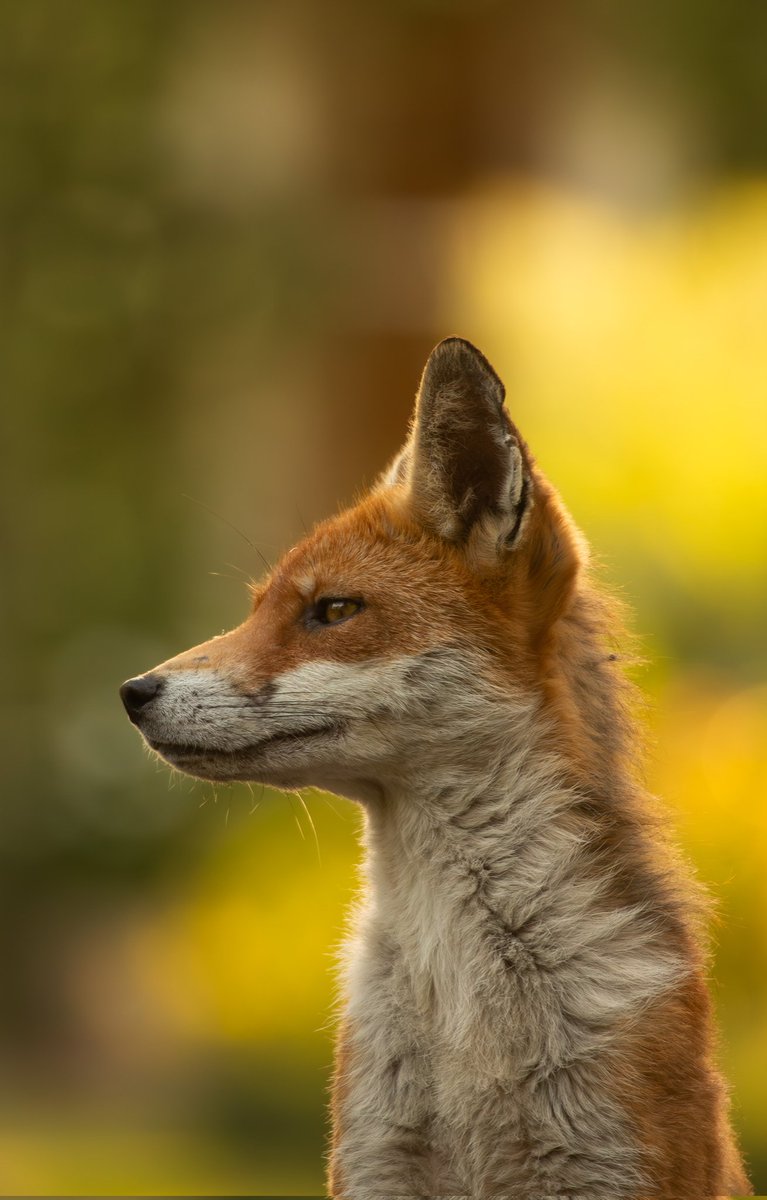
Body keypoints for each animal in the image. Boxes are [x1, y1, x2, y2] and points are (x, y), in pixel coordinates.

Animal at [121, 337, 750, 1198]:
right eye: (254, 611)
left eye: (333, 611)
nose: (132, 693)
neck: (460, 1015)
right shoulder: (377, 1165)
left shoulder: (611, 1164)